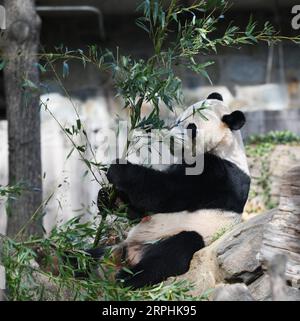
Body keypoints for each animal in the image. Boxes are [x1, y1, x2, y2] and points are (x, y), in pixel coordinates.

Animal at [95, 92, 250, 288]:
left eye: (192, 128)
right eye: (178, 120)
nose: (169, 138)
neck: (225, 145)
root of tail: (128, 257)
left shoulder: (219, 175)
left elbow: (165, 192)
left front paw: (119, 169)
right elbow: (140, 211)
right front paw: (106, 197)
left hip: (177, 236)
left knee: (173, 252)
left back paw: (126, 278)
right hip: (112, 248)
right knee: (85, 256)